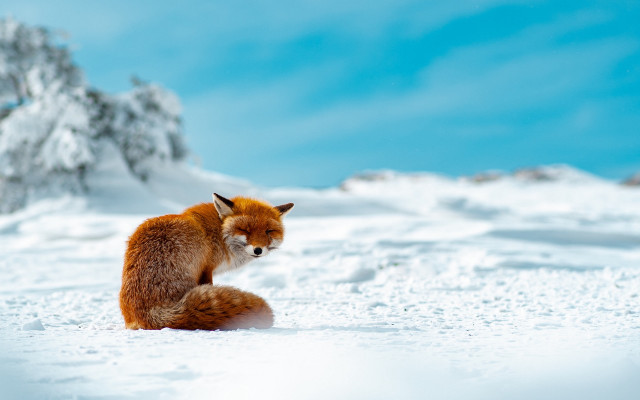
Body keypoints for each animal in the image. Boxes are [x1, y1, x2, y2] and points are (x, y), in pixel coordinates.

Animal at [119, 193, 294, 330]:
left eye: (269, 231)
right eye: (244, 230)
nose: (258, 250)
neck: (220, 232)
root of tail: (148, 313)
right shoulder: (207, 269)